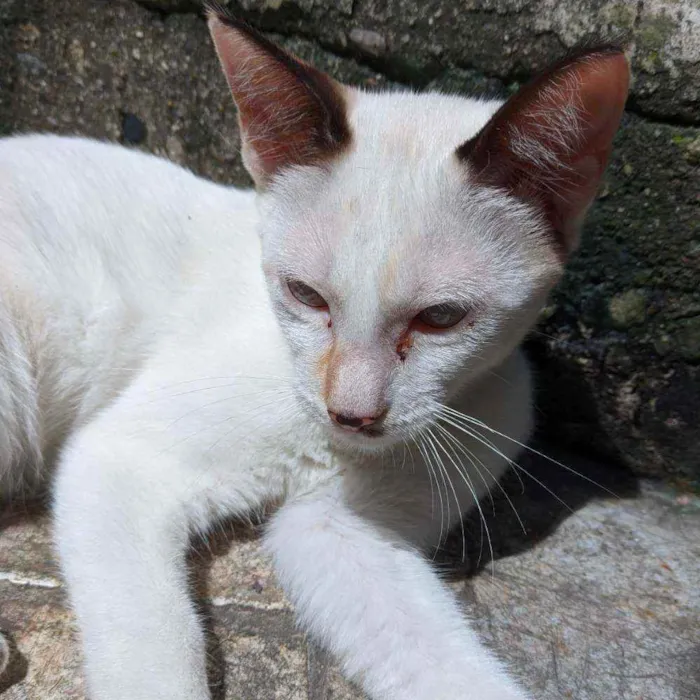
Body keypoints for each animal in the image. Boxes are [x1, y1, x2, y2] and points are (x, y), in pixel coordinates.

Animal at [0, 6, 628, 700]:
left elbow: (443, 663)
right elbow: (158, 646)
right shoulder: (120, 461)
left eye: (440, 318)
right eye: (305, 294)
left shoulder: (339, 531)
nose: (351, 413)